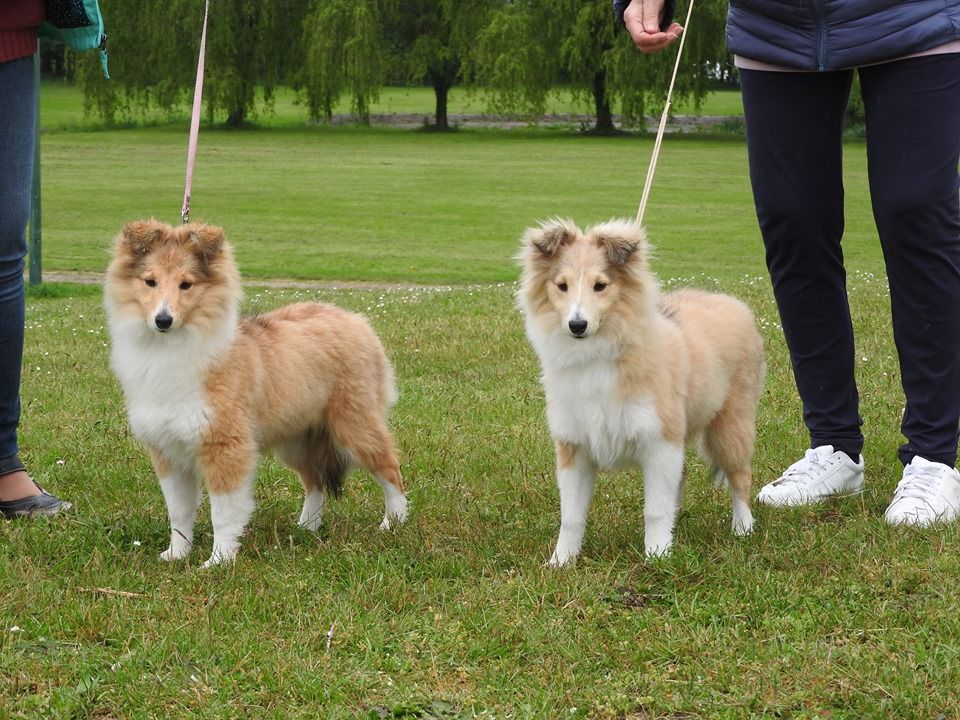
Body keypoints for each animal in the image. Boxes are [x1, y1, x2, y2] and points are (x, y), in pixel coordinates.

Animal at [103, 219, 406, 568]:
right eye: (150, 281)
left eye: (186, 284)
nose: (163, 320)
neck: (170, 349)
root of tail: (355, 319)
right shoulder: (168, 452)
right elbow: (178, 512)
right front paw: (177, 555)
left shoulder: (225, 447)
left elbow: (223, 512)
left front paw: (218, 561)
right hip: (296, 438)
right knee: (315, 481)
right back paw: (306, 527)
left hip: (354, 426)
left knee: (390, 468)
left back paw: (393, 523)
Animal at [516, 219, 764, 564]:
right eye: (561, 285)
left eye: (600, 285)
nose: (577, 325)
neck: (597, 354)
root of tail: (732, 303)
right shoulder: (573, 446)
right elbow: (571, 516)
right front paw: (561, 562)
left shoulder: (659, 441)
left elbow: (654, 510)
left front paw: (657, 557)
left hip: (731, 426)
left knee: (740, 478)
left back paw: (742, 529)